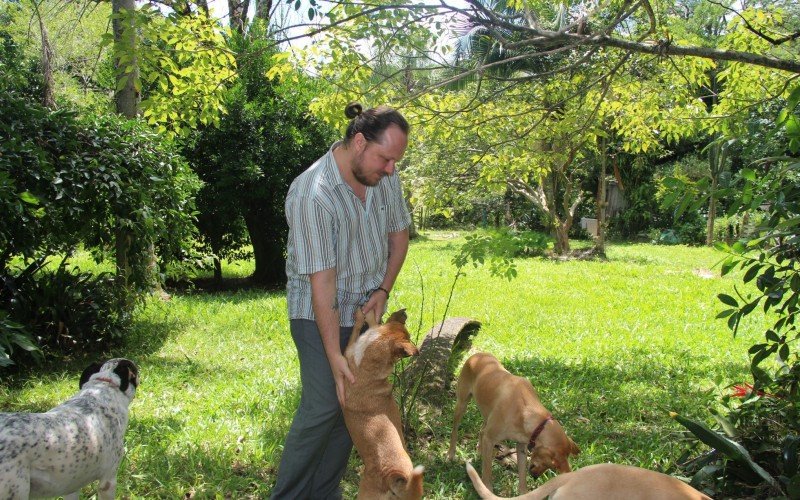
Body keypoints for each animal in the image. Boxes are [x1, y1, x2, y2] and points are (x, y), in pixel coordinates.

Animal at [342, 306, 424, 498]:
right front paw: (369, 315)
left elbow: (356, 329)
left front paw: (360, 317)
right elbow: (369, 323)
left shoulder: (348, 353)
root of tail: (392, 474)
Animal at [446, 354, 580, 494]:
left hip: (487, 413)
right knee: (455, 430)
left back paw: (479, 451)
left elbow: (522, 475)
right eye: (550, 465)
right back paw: (451, 454)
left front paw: (523, 494)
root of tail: (477, 355)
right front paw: (487, 490)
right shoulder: (490, 438)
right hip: (462, 404)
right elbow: (487, 473)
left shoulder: (521, 446)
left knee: (482, 431)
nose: (535, 477)